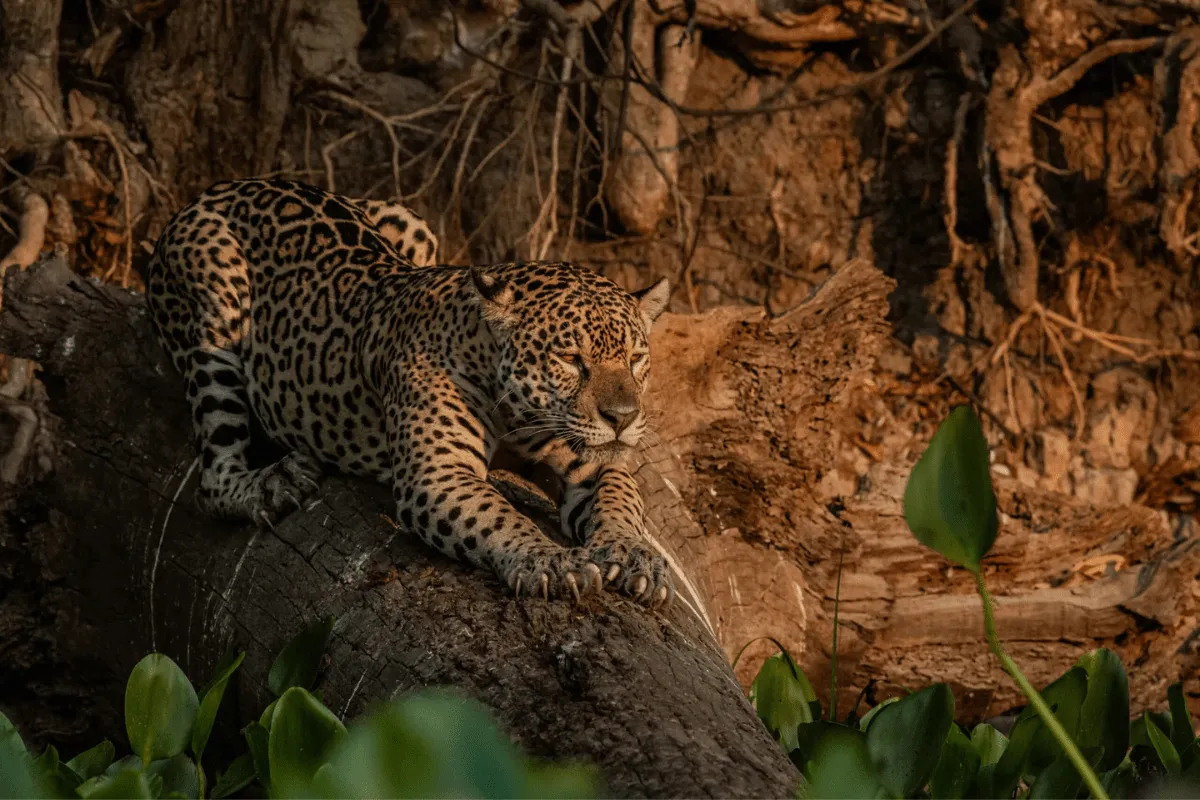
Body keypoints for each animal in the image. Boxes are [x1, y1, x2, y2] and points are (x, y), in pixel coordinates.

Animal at [144, 177, 674, 607]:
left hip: (412, 222)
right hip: (215, 311)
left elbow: (620, 494)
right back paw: (276, 482)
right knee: (213, 480)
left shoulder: (593, 459)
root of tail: (222, 187)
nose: (623, 417)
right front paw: (550, 561)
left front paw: (636, 554)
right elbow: (501, 517)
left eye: (635, 359)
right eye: (570, 359)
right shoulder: (437, 475)